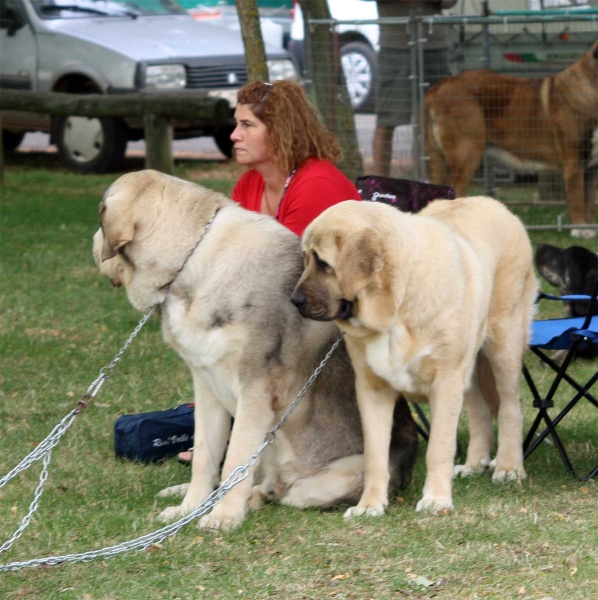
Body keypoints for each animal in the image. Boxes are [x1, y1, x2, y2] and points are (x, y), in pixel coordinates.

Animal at [95, 169, 422, 528]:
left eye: (100, 216)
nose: (94, 244)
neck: (192, 258)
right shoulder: (207, 388)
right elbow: (205, 457)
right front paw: (188, 508)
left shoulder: (255, 392)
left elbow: (233, 461)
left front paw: (223, 516)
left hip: (331, 476)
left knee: (281, 491)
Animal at [292, 197, 540, 516]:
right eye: (305, 259)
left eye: (323, 263)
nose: (294, 300)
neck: (395, 307)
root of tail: (495, 204)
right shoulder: (372, 390)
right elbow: (375, 456)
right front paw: (369, 505)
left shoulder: (445, 382)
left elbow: (438, 448)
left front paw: (436, 499)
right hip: (468, 367)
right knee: (479, 410)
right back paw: (474, 464)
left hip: (503, 343)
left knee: (510, 408)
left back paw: (509, 467)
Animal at [426, 40, 598, 239]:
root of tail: (438, 87)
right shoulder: (574, 161)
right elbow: (578, 199)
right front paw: (579, 230)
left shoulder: (591, 166)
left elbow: (588, 201)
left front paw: (590, 229)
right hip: (466, 155)